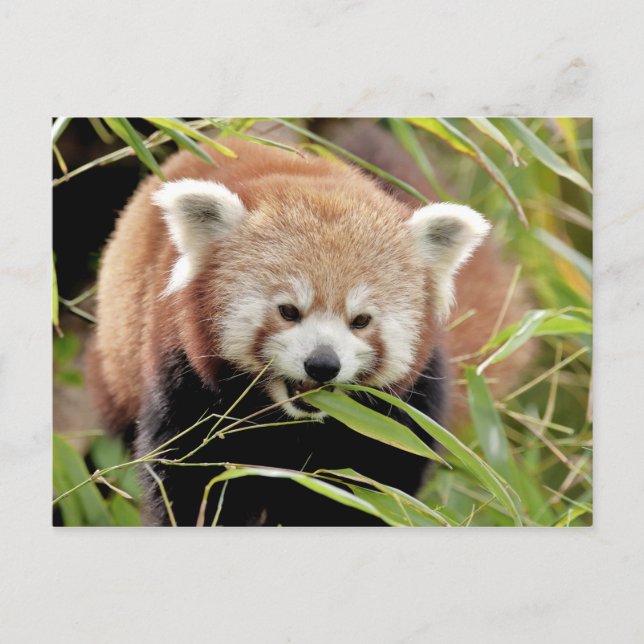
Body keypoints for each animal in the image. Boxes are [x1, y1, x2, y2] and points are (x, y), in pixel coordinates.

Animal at [87, 131, 528, 526]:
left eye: (360, 320)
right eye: (288, 311)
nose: (322, 365)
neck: (295, 426)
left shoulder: (400, 414)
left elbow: (375, 491)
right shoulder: (184, 380)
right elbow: (192, 482)